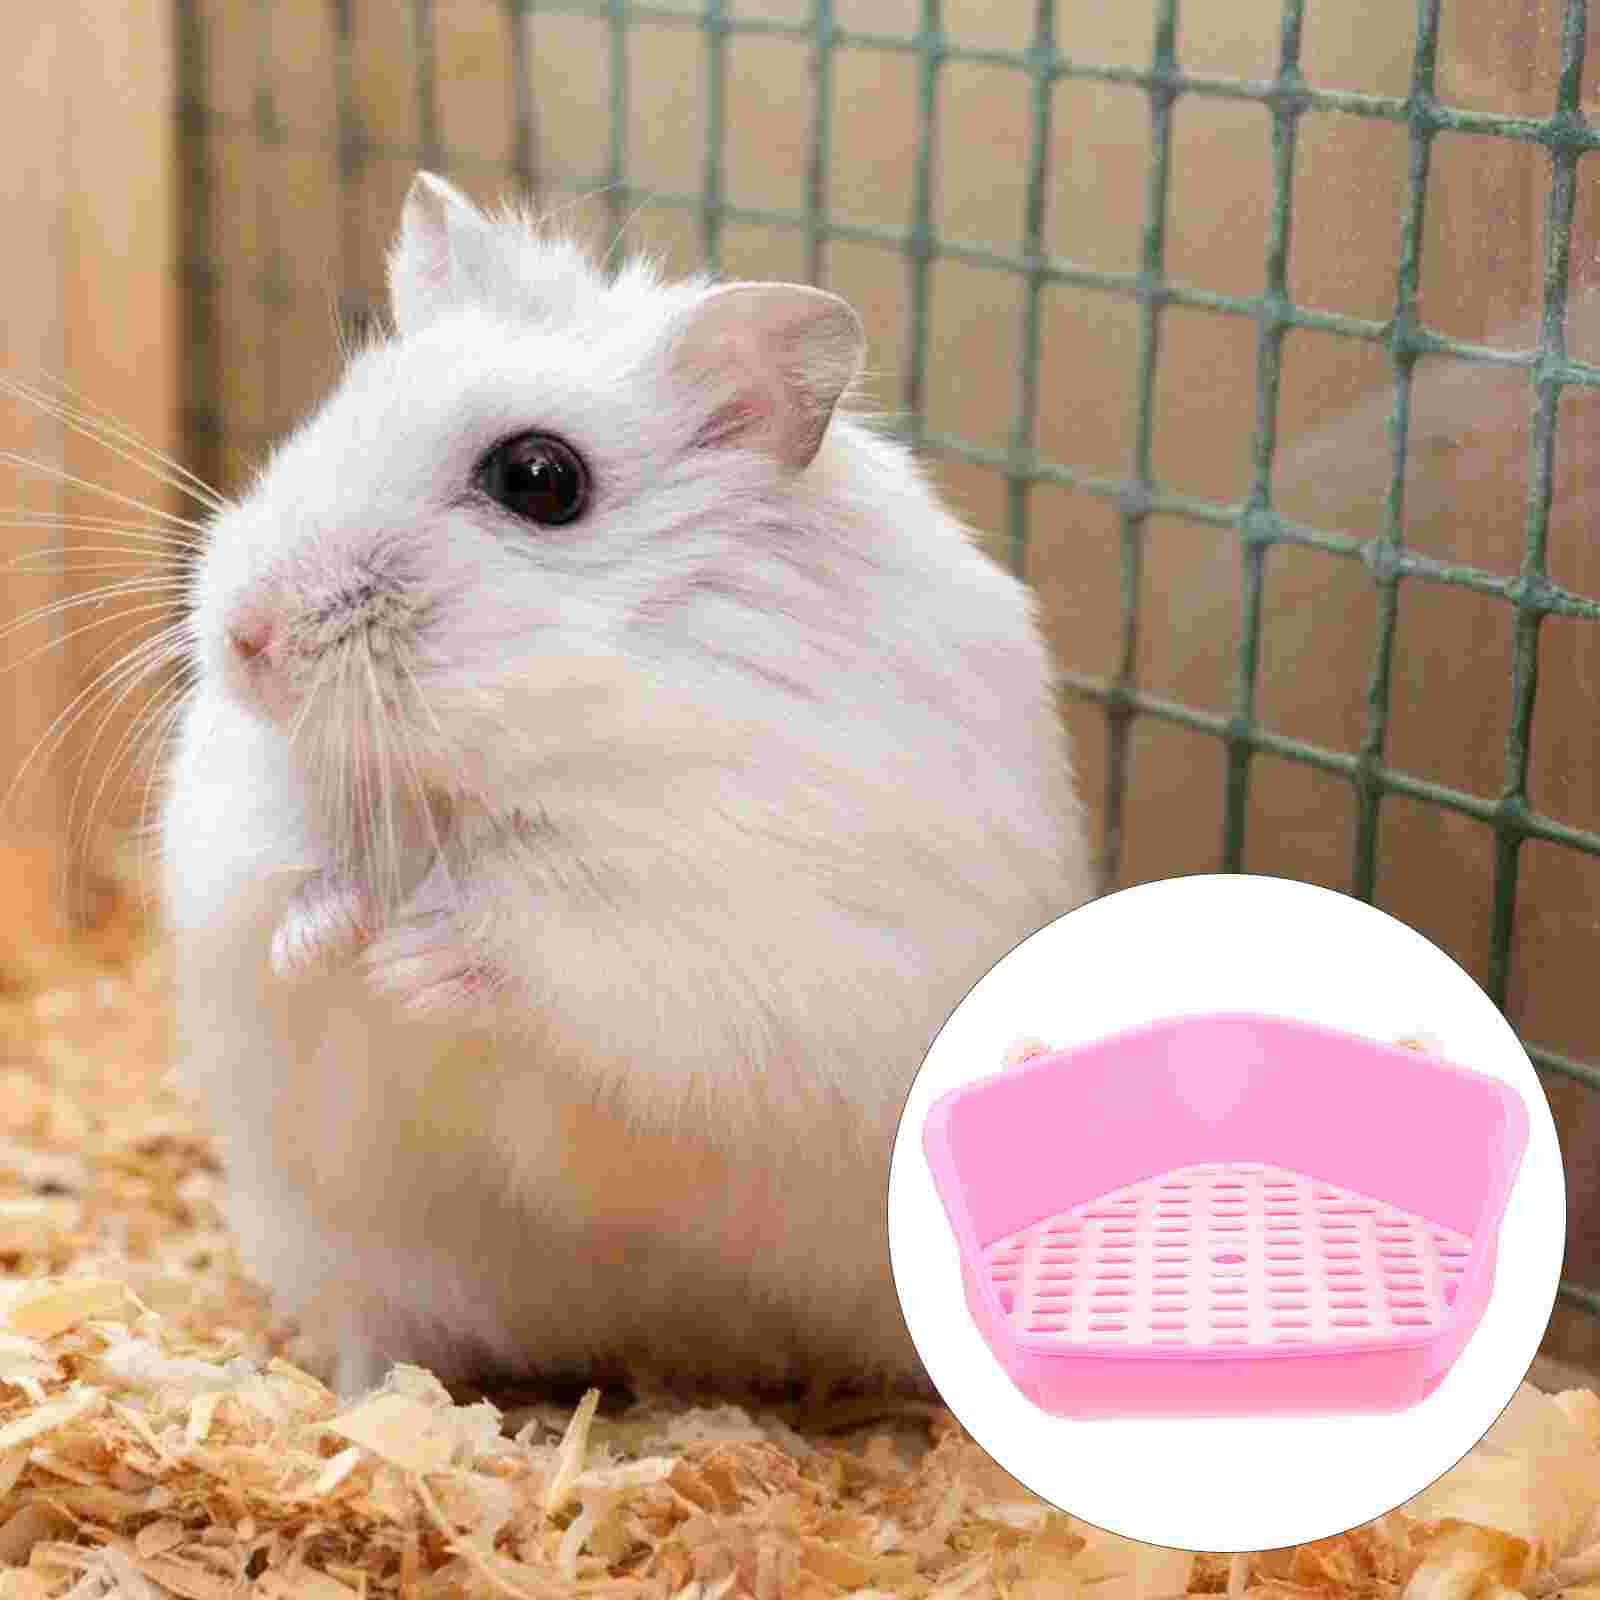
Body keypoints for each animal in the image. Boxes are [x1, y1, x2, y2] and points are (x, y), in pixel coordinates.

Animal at [159, 171, 1091, 1399]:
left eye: (539, 478)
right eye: (337, 409)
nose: (245, 638)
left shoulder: (709, 927)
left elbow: (555, 943)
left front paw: (409, 960)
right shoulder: (237, 847)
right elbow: (286, 890)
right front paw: (336, 939)